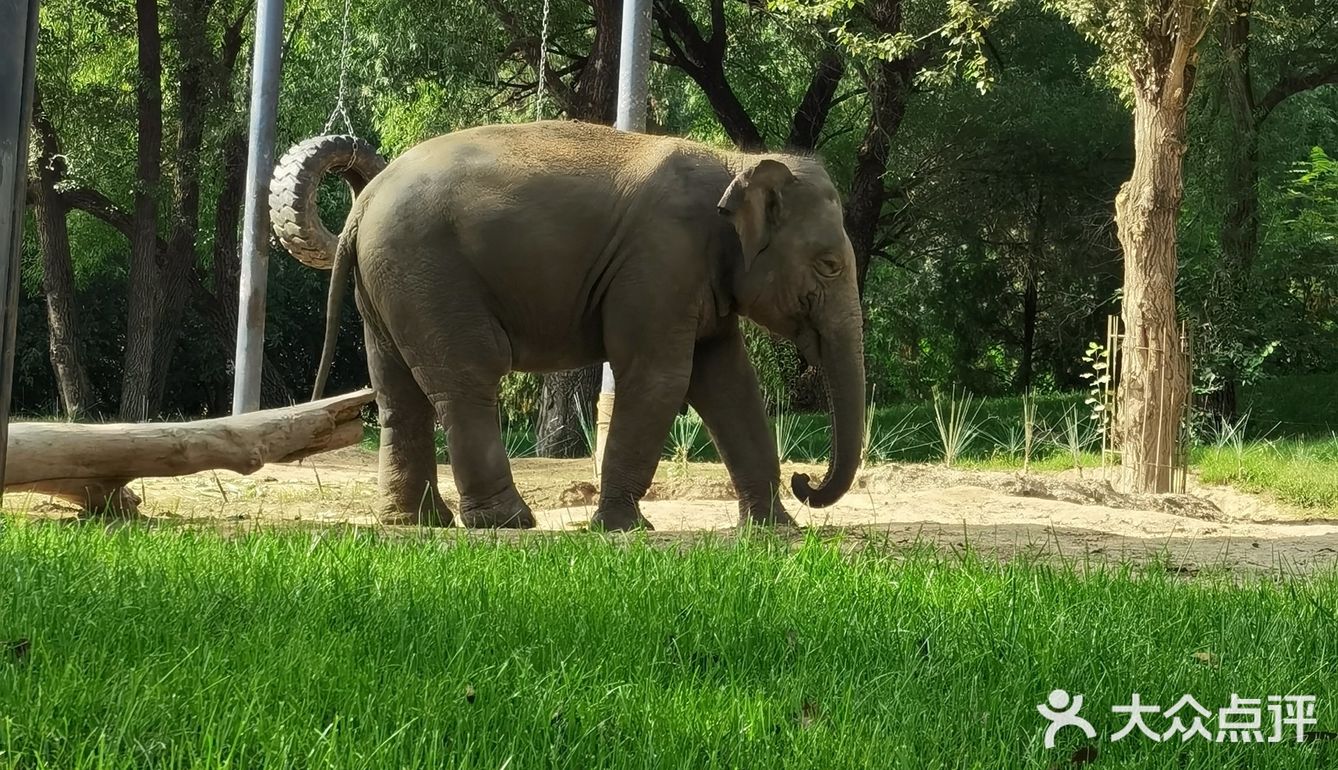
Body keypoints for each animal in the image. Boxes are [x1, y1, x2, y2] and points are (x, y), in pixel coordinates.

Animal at [286, 120, 861, 530]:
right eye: (830, 265)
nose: (805, 480)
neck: (736, 162)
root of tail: (361, 207)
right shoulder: (662, 260)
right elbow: (661, 379)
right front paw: (622, 528)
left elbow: (729, 384)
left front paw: (774, 529)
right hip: (429, 278)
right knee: (466, 381)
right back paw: (508, 523)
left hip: (388, 289)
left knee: (398, 395)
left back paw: (417, 521)